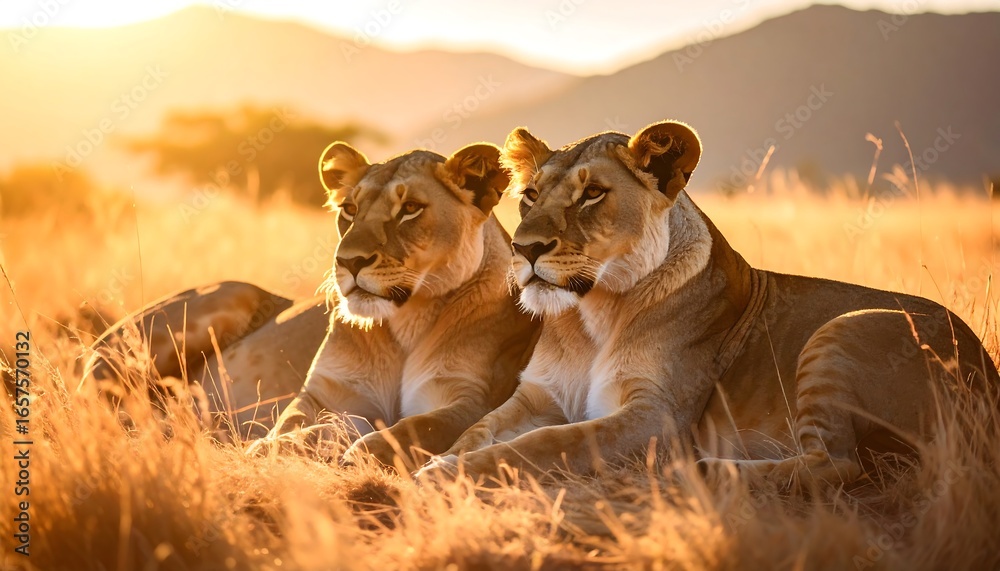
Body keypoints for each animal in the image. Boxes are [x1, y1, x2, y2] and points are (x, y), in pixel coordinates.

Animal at [417, 120, 998, 489]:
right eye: (530, 196)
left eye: (593, 194)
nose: (525, 248)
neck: (590, 318)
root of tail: (988, 375)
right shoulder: (538, 395)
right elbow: (478, 431)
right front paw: (439, 459)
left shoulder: (656, 417)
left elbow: (544, 444)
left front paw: (441, 475)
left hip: (845, 330)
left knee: (836, 465)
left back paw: (701, 471)